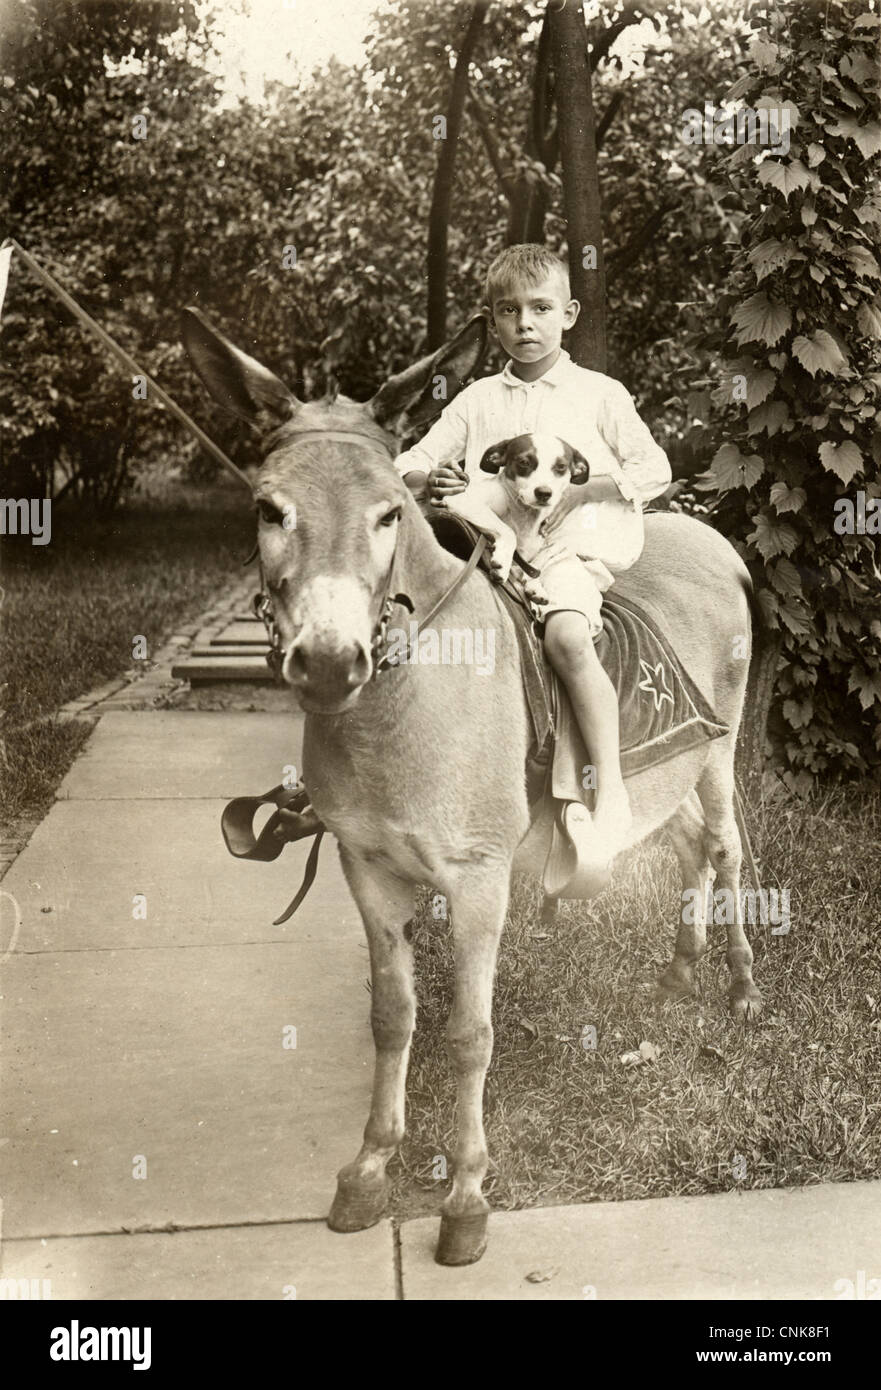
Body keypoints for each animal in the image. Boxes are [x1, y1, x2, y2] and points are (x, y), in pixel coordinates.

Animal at [439, 433, 589, 586]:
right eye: (524, 462)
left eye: (561, 466)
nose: (544, 493)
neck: (526, 515)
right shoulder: (463, 500)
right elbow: (508, 531)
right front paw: (504, 561)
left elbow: (546, 555)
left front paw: (534, 582)